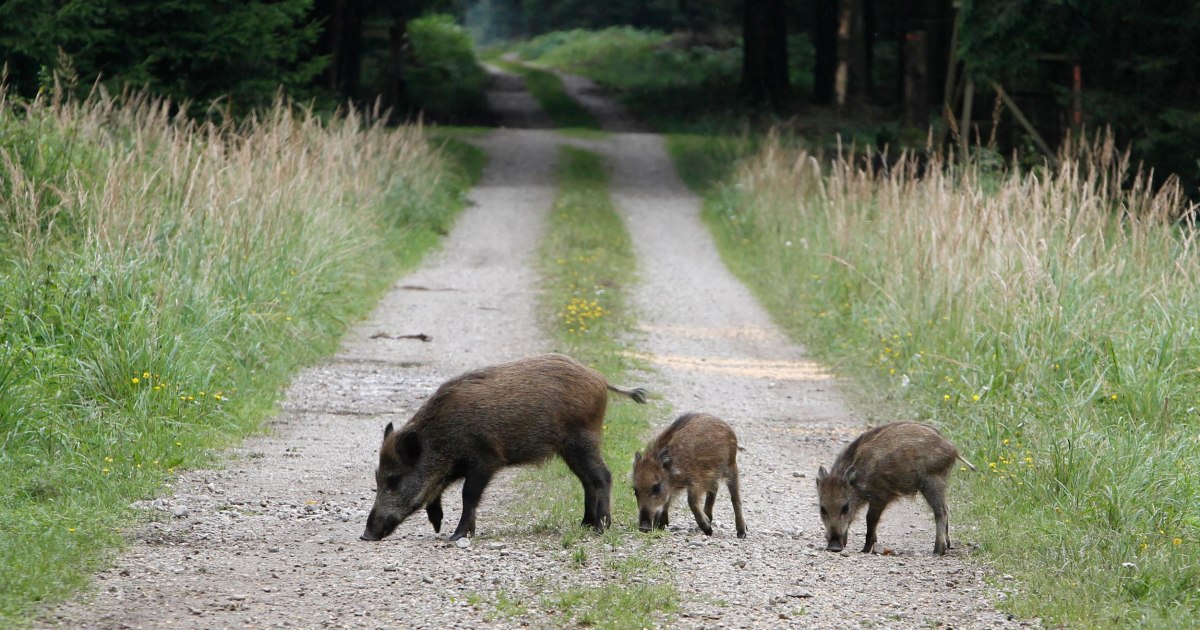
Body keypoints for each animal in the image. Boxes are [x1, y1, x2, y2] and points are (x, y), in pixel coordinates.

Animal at [360, 353, 647, 542]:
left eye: (393, 479)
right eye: (377, 477)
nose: (366, 535)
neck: (441, 437)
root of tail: (601, 379)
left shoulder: (485, 459)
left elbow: (468, 495)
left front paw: (456, 536)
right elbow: (439, 490)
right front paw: (439, 526)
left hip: (582, 440)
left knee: (602, 476)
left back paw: (601, 527)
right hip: (570, 449)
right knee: (587, 480)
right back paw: (585, 524)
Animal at [816, 421, 977, 555]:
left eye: (845, 508)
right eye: (822, 509)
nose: (834, 547)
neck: (860, 480)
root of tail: (953, 449)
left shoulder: (880, 495)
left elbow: (870, 519)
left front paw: (865, 549)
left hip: (932, 482)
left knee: (941, 511)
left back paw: (938, 551)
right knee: (947, 508)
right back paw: (948, 546)